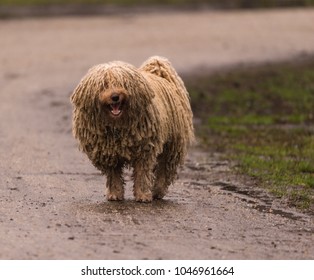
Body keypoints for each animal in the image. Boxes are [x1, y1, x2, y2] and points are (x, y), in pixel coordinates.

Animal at [71, 56, 194, 201]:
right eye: (104, 84)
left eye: (122, 83)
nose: (115, 97)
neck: (117, 125)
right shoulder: (108, 152)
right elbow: (113, 175)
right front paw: (115, 193)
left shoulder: (144, 149)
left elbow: (142, 173)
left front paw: (143, 195)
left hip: (173, 143)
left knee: (165, 168)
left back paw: (158, 191)